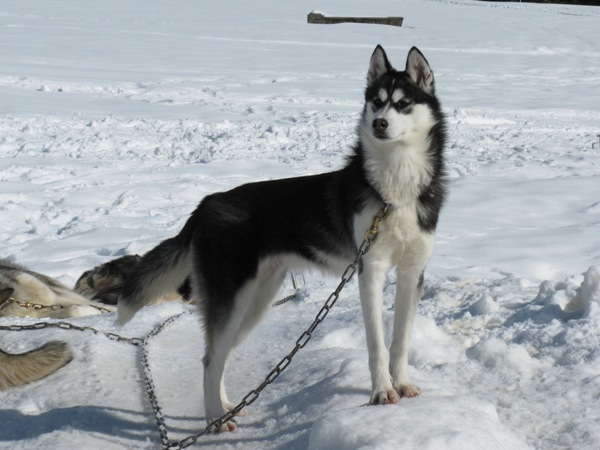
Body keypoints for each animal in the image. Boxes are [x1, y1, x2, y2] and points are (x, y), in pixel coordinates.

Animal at [117, 46, 446, 432]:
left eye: (403, 103)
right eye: (377, 103)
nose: (379, 123)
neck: (395, 189)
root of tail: (206, 204)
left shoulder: (412, 273)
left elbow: (401, 341)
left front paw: (403, 384)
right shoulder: (371, 270)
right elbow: (378, 345)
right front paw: (382, 392)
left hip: (255, 303)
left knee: (220, 356)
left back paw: (227, 407)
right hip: (233, 299)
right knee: (210, 361)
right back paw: (215, 420)